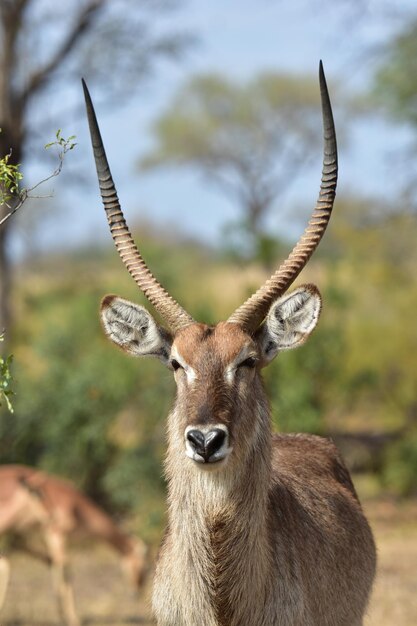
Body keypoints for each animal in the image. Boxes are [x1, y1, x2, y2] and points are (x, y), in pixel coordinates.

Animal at [0, 464, 148, 624]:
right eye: (145, 566)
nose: (136, 592)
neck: (75, 505)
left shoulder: (49, 535)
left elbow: (57, 565)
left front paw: (64, 616)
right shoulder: (56, 534)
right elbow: (64, 570)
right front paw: (73, 619)